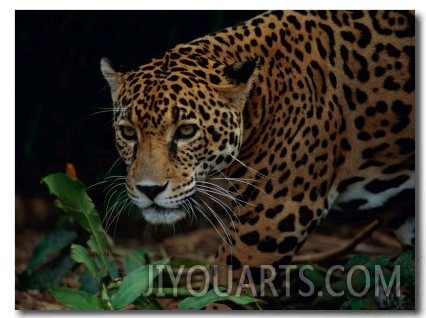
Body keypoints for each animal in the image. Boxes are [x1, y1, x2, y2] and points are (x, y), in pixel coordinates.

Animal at [101, 9, 414, 306]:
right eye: (128, 132)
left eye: (186, 131)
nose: (149, 189)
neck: (262, 98)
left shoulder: (273, 216)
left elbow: (225, 288)